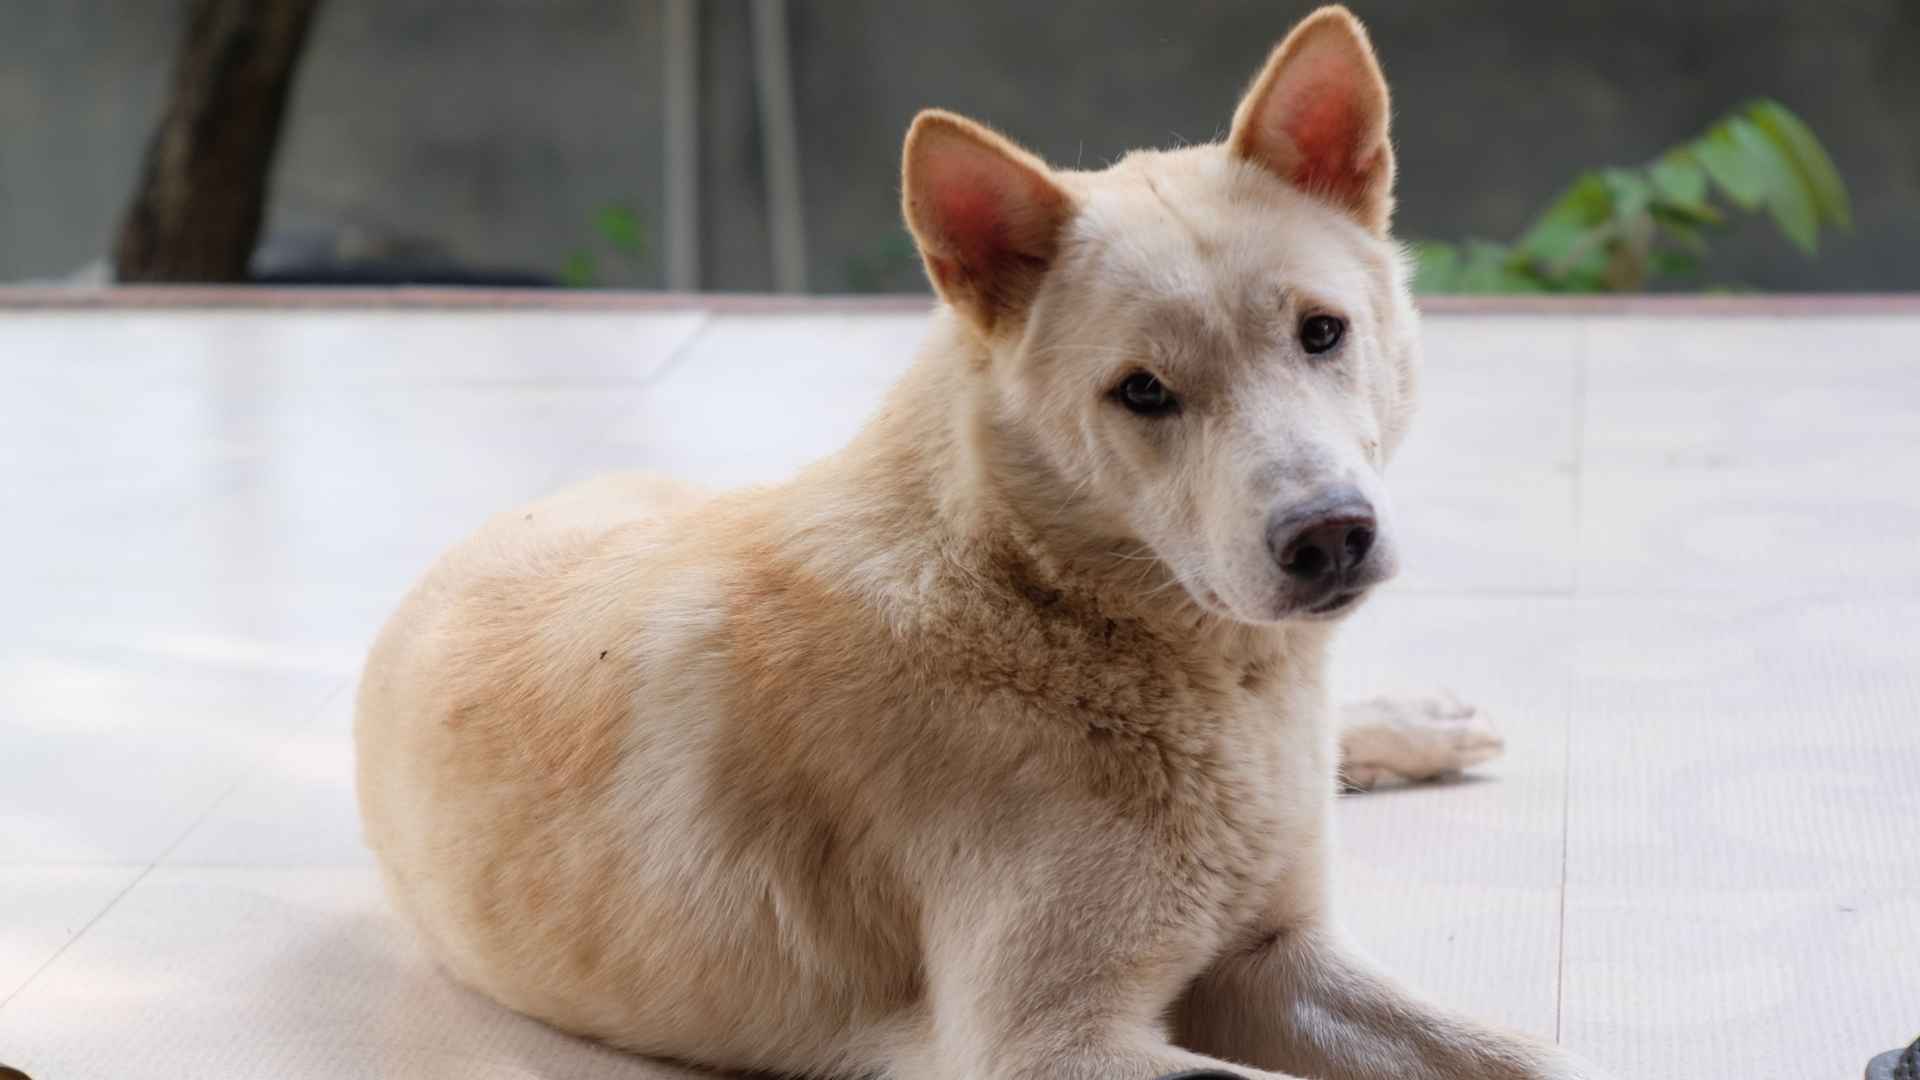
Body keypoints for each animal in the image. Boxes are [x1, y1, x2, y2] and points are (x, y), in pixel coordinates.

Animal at [353, 10, 1597, 1076]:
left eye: (1322, 332)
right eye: (1142, 392)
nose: (1331, 538)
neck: (1045, 596)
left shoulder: (1274, 953)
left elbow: (1538, 1056)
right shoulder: (1051, 1044)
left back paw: (1410, 724)